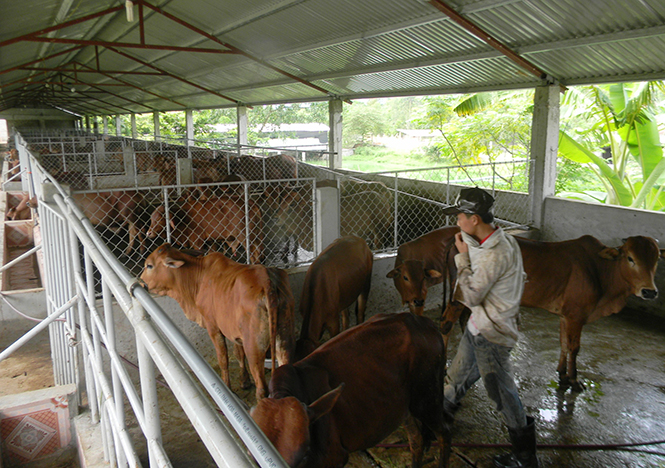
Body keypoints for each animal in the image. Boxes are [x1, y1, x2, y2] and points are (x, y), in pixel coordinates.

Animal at [141, 243, 296, 400]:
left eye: (149, 265)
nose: (141, 282)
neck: (198, 277)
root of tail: (268, 282)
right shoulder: (234, 331)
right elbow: (238, 354)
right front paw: (244, 381)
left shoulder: (213, 327)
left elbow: (223, 360)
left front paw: (228, 387)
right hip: (284, 339)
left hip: (254, 347)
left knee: (262, 388)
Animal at [250, 310, 452, 468]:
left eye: (304, 454)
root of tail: (424, 322)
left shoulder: (335, 458)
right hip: (404, 408)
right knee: (417, 440)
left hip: (427, 399)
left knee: (444, 433)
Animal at [440, 234, 664, 392]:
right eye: (630, 258)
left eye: (656, 260)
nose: (650, 291)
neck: (600, 270)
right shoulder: (576, 316)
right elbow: (574, 347)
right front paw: (574, 380)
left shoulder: (566, 316)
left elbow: (564, 343)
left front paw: (562, 374)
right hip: (459, 295)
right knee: (446, 324)